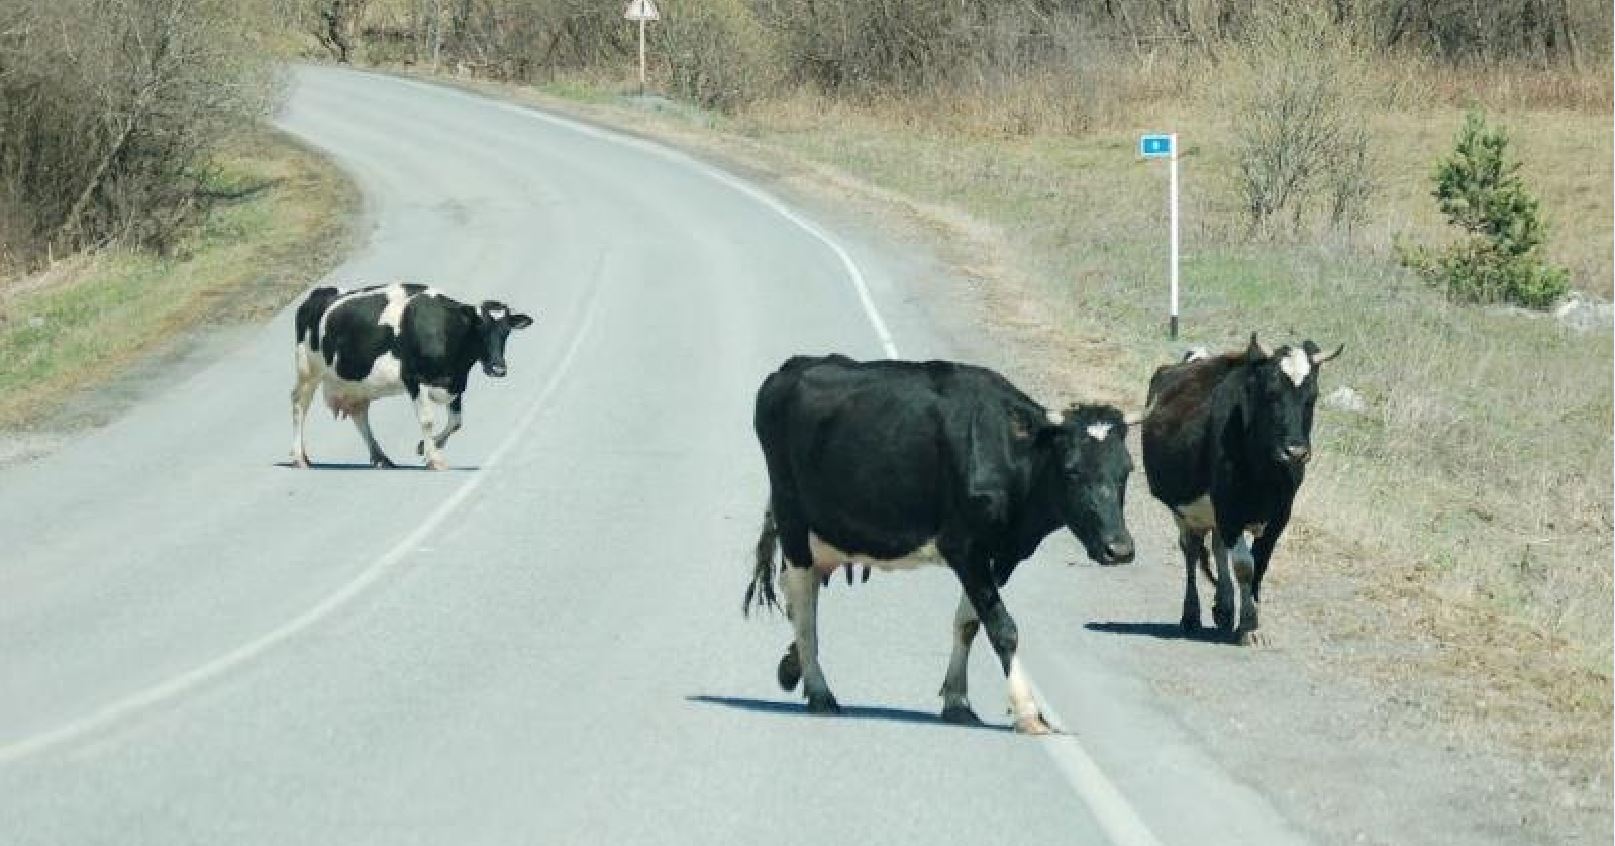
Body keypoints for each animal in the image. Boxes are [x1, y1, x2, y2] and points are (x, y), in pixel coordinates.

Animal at [290, 282, 536, 468]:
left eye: (506, 331)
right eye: (479, 327)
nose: (498, 368)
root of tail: (319, 292)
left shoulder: (456, 383)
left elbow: (456, 422)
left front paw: (426, 447)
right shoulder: (414, 379)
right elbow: (427, 420)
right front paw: (434, 458)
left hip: (356, 383)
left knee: (359, 413)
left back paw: (381, 457)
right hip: (307, 370)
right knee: (299, 405)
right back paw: (299, 457)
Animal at [742, 353, 1136, 729]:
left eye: (1127, 471)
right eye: (1072, 471)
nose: (1119, 549)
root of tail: (792, 367)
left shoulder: (1003, 554)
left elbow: (969, 623)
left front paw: (957, 702)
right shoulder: (962, 546)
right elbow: (1002, 627)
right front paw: (1027, 711)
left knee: (800, 592)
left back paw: (794, 668)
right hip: (792, 518)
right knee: (804, 604)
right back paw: (820, 692)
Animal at [1143, 334, 1343, 645]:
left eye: (1312, 397)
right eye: (1271, 394)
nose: (1295, 452)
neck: (1264, 472)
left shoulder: (1279, 516)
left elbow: (1259, 564)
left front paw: (1252, 619)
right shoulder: (1229, 509)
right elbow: (1244, 566)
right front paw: (1248, 624)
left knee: (1216, 547)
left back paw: (1224, 608)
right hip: (1184, 511)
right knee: (1191, 552)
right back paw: (1191, 614)